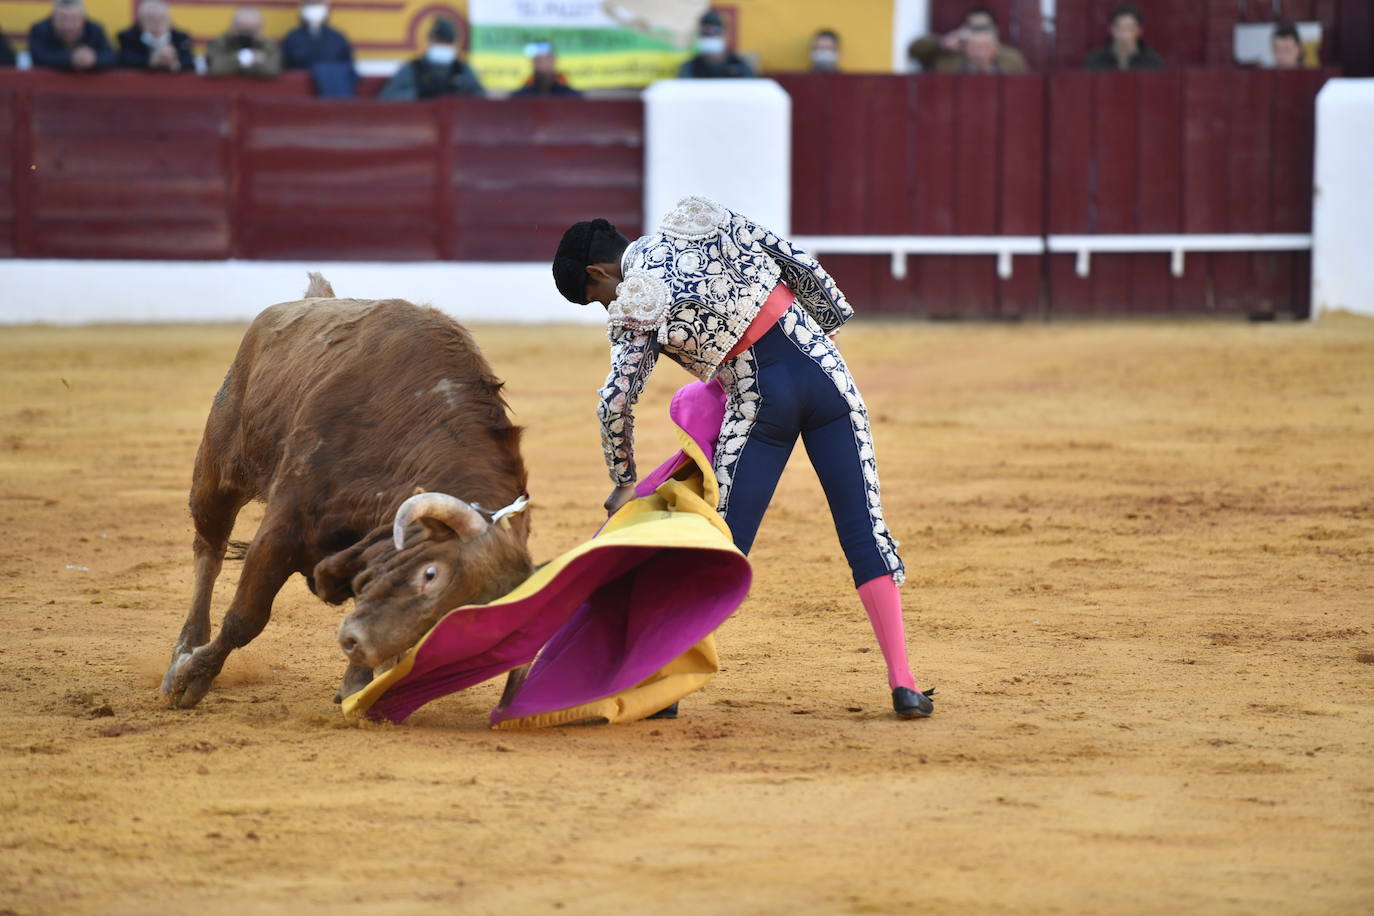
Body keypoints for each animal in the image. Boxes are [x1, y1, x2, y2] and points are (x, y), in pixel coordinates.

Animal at [157, 271, 530, 708]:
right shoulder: (284, 521)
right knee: (209, 551)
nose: (358, 642)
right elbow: (246, 617)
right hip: (217, 469)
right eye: (430, 574)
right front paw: (191, 678)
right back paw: (184, 651)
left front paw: (358, 683)